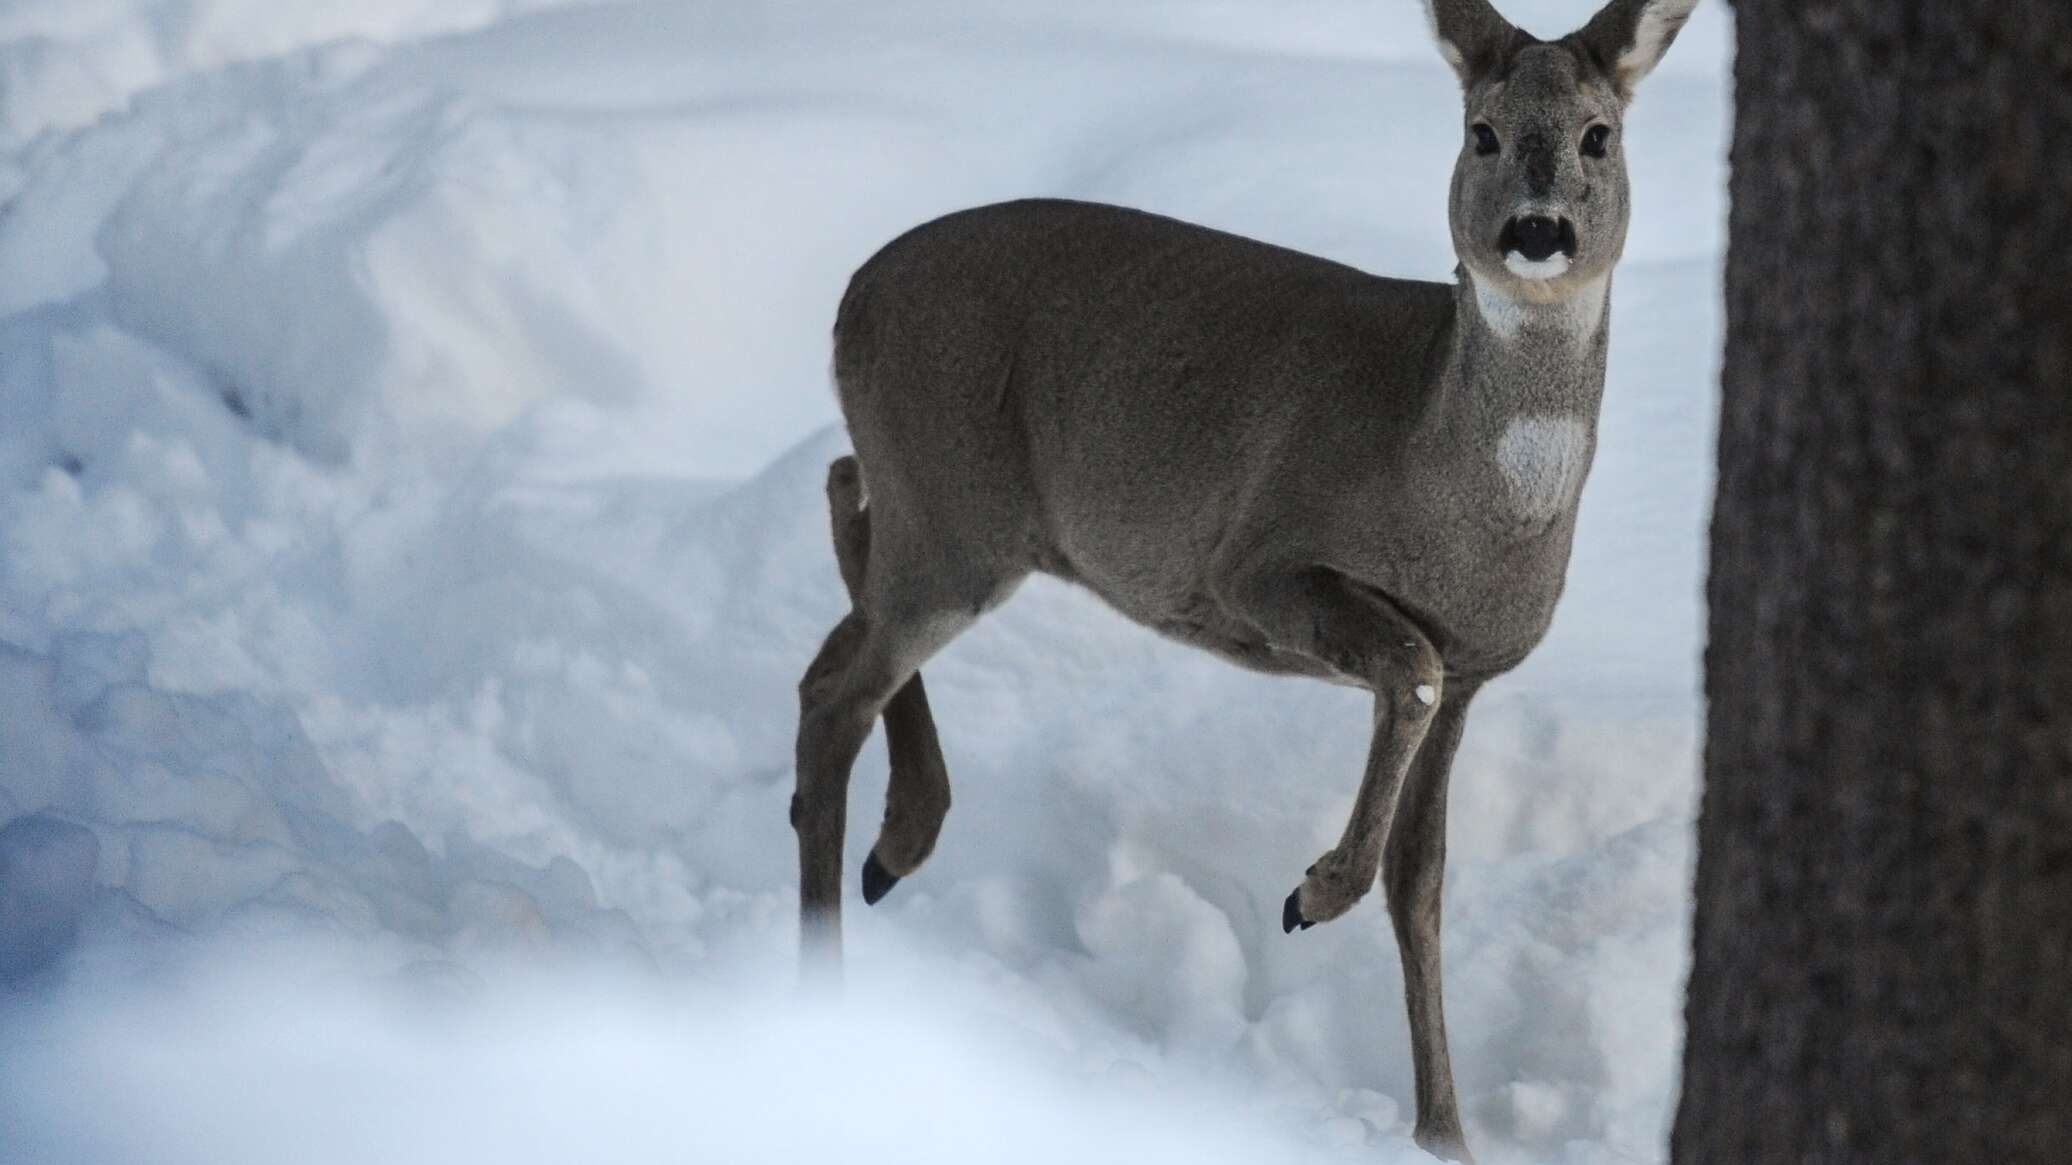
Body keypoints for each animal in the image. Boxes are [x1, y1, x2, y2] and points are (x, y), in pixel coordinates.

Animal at [791, 0, 1699, 1152]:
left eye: (1598, 136)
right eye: (1482, 131)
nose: (1536, 233)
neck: (1446, 480)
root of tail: (847, 299)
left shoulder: (1482, 663)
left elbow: (1423, 877)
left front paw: (1444, 1130)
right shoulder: (1255, 563)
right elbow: (1404, 671)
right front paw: (1309, 893)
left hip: (951, 517)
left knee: (837, 554)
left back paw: (895, 841)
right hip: (955, 511)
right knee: (836, 683)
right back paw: (828, 971)